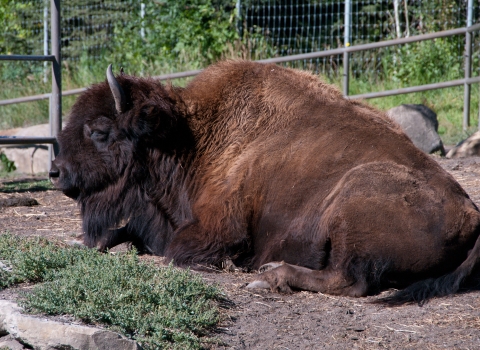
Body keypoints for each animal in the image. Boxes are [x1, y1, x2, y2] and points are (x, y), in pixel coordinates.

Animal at [48, 61, 480, 304]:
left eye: (99, 131)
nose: (56, 172)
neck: (191, 138)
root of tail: (471, 213)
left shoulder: (216, 231)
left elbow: (171, 251)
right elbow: (124, 233)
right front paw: (83, 243)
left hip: (353, 200)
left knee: (351, 280)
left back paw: (269, 276)